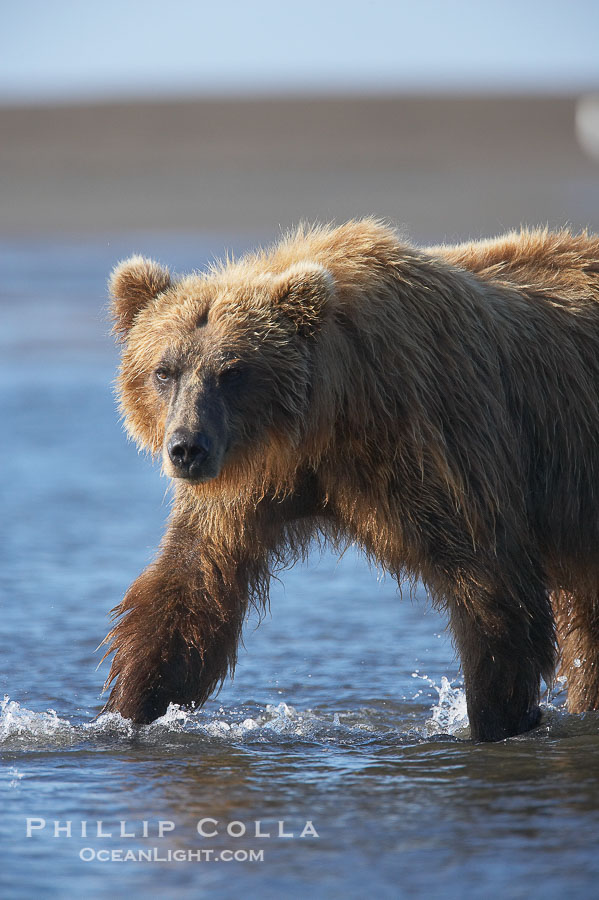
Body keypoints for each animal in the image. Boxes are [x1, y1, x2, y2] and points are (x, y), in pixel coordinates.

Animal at [101, 219, 599, 742]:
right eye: (164, 370)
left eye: (232, 371)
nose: (186, 449)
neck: (324, 423)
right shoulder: (249, 486)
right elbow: (191, 586)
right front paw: (126, 711)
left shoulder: (433, 447)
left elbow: (490, 584)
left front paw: (496, 719)